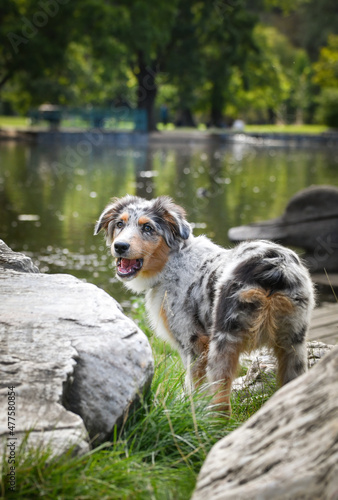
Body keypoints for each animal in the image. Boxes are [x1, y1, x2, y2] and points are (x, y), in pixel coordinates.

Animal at [94, 195, 314, 414]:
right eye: (120, 224)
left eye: (148, 228)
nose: (120, 246)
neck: (173, 261)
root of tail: (274, 266)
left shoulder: (193, 343)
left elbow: (194, 386)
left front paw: (190, 411)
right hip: (293, 345)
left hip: (224, 343)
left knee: (222, 402)